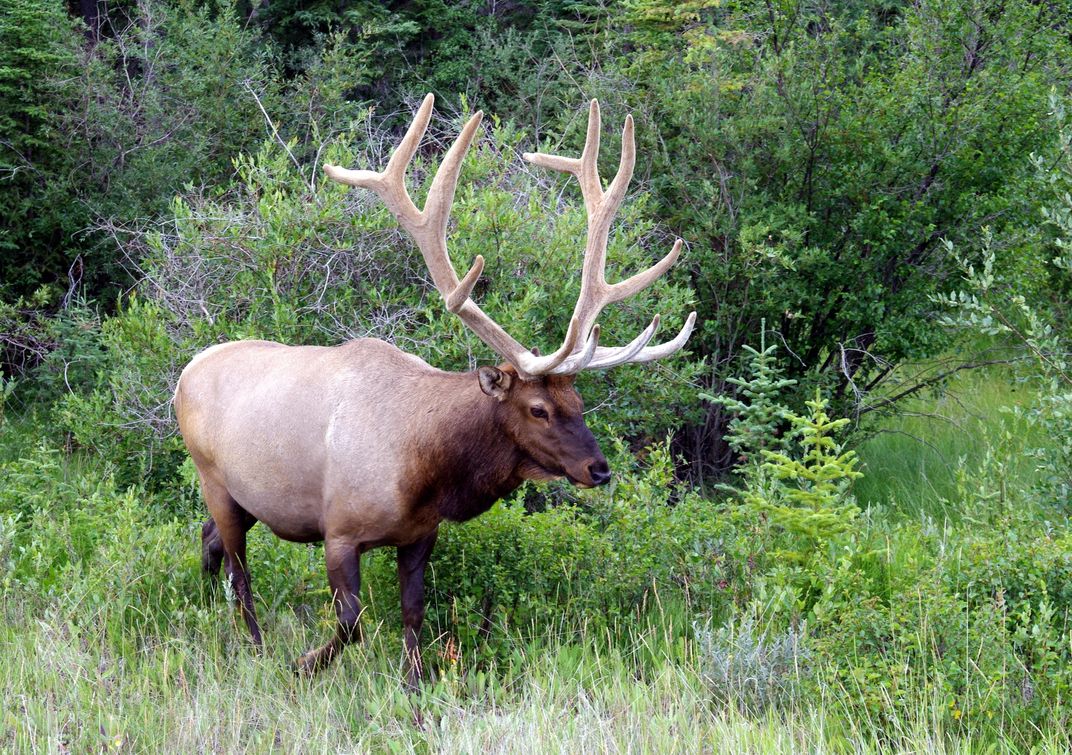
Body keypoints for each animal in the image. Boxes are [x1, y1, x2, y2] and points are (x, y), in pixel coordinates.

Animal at [174, 94, 696, 688]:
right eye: (537, 408)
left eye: (579, 404)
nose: (599, 469)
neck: (426, 468)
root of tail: (186, 373)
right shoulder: (340, 530)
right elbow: (351, 621)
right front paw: (305, 662)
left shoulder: (421, 534)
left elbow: (414, 611)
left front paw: (414, 681)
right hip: (213, 477)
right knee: (240, 572)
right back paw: (257, 646)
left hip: (248, 498)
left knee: (210, 542)